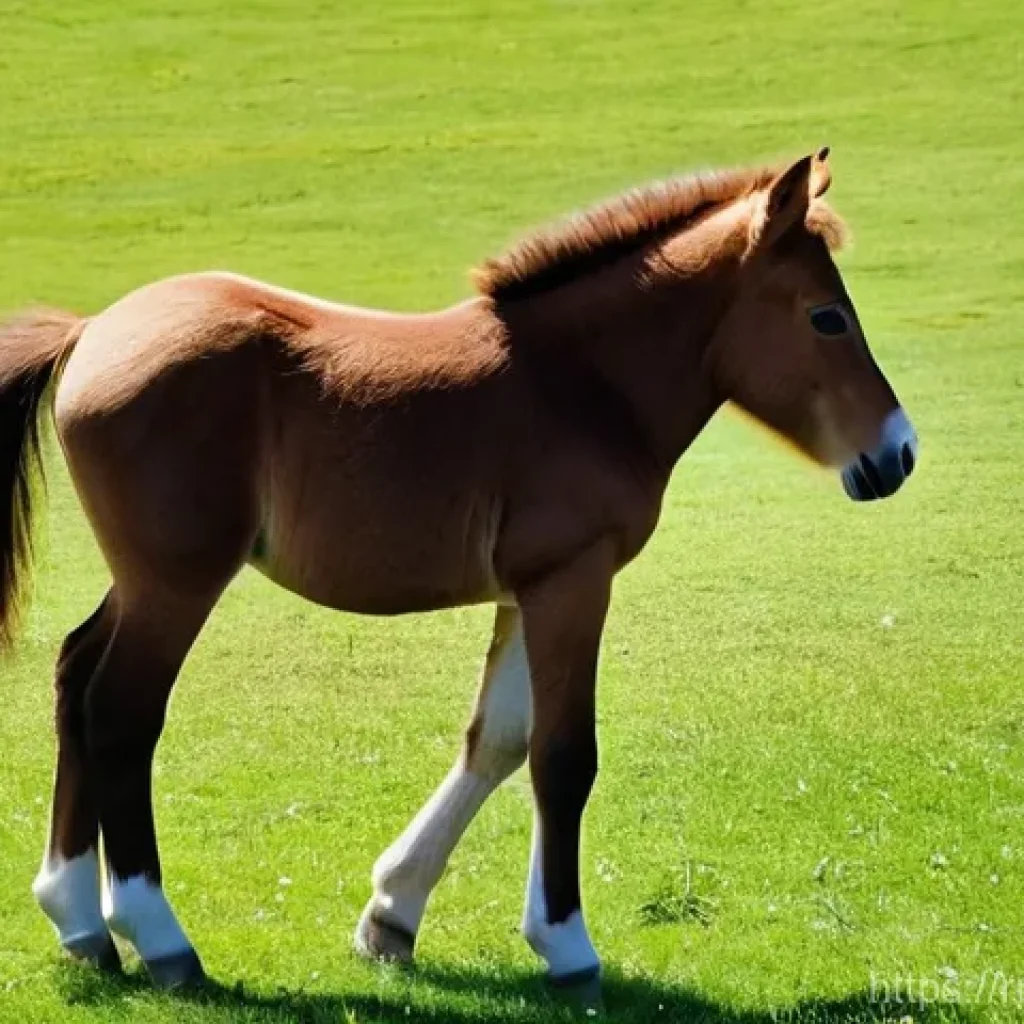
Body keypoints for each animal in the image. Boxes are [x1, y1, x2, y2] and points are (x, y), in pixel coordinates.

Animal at [0, 149, 917, 995]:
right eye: (827, 317)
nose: (897, 454)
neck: (582, 385)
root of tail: (93, 331)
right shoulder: (574, 580)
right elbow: (563, 757)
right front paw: (568, 946)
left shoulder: (528, 590)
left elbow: (498, 741)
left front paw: (391, 917)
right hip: (179, 584)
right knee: (120, 712)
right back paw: (159, 939)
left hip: (143, 579)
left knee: (74, 677)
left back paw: (80, 924)